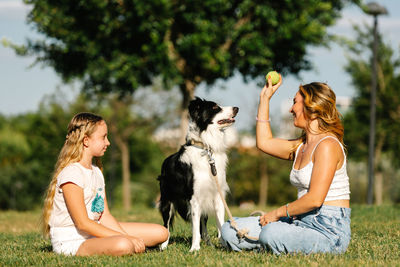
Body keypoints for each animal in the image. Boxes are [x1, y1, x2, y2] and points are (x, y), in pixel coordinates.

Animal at [156, 97, 238, 252]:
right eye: (215, 108)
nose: (236, 108)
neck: (206, 150)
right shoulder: (194, 198)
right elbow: (194, 228)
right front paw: (194, 249)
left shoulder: (218, 196)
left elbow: (219, 224)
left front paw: (224, 245)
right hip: (167, 200)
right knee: (166, 224)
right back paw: (163, 246)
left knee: (203, 224)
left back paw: (209, 243)